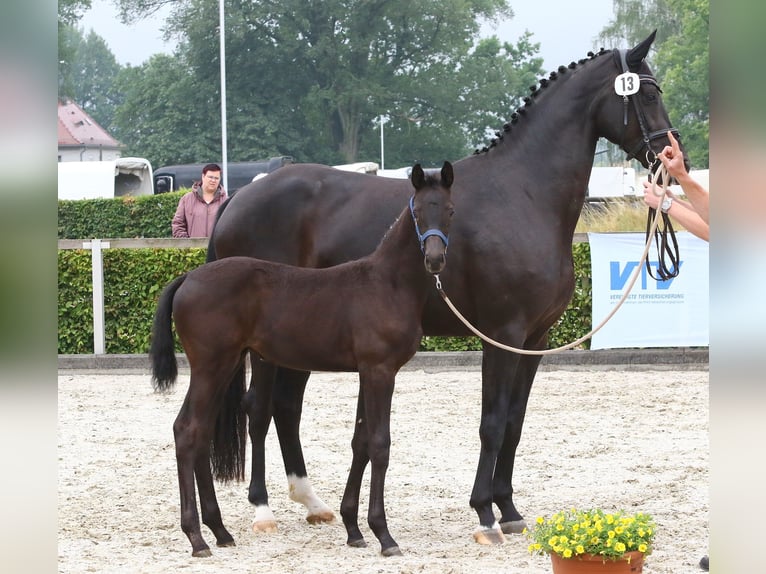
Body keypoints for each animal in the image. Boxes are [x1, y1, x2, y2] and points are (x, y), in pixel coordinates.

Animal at [152, 162, 456, 560]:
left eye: (450, 211)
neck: (385, 282)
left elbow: (361, 440)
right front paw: (384, 535)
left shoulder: (368, 371)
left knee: (199, 431)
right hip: (211, 366)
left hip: (223, 365)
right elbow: (379, 444)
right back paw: (197, 538)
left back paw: (219, 530)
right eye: (417, 211)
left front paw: (354, 530)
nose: (434, 259)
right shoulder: (380, 370)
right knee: (188, 430)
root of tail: (187, 278)